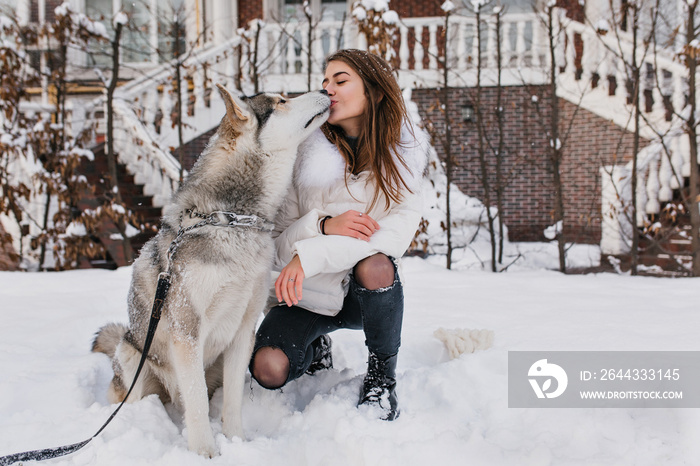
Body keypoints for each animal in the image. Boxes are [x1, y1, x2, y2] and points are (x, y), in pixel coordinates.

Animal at [93, 84, 330, 456]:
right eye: (281, 101)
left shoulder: (245, 330)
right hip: (132, 359)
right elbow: (197, 403)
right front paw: (205, 452)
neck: (232, 219)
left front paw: (237, 443)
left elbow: (231, 401)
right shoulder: (187, 331)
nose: (323, 87)